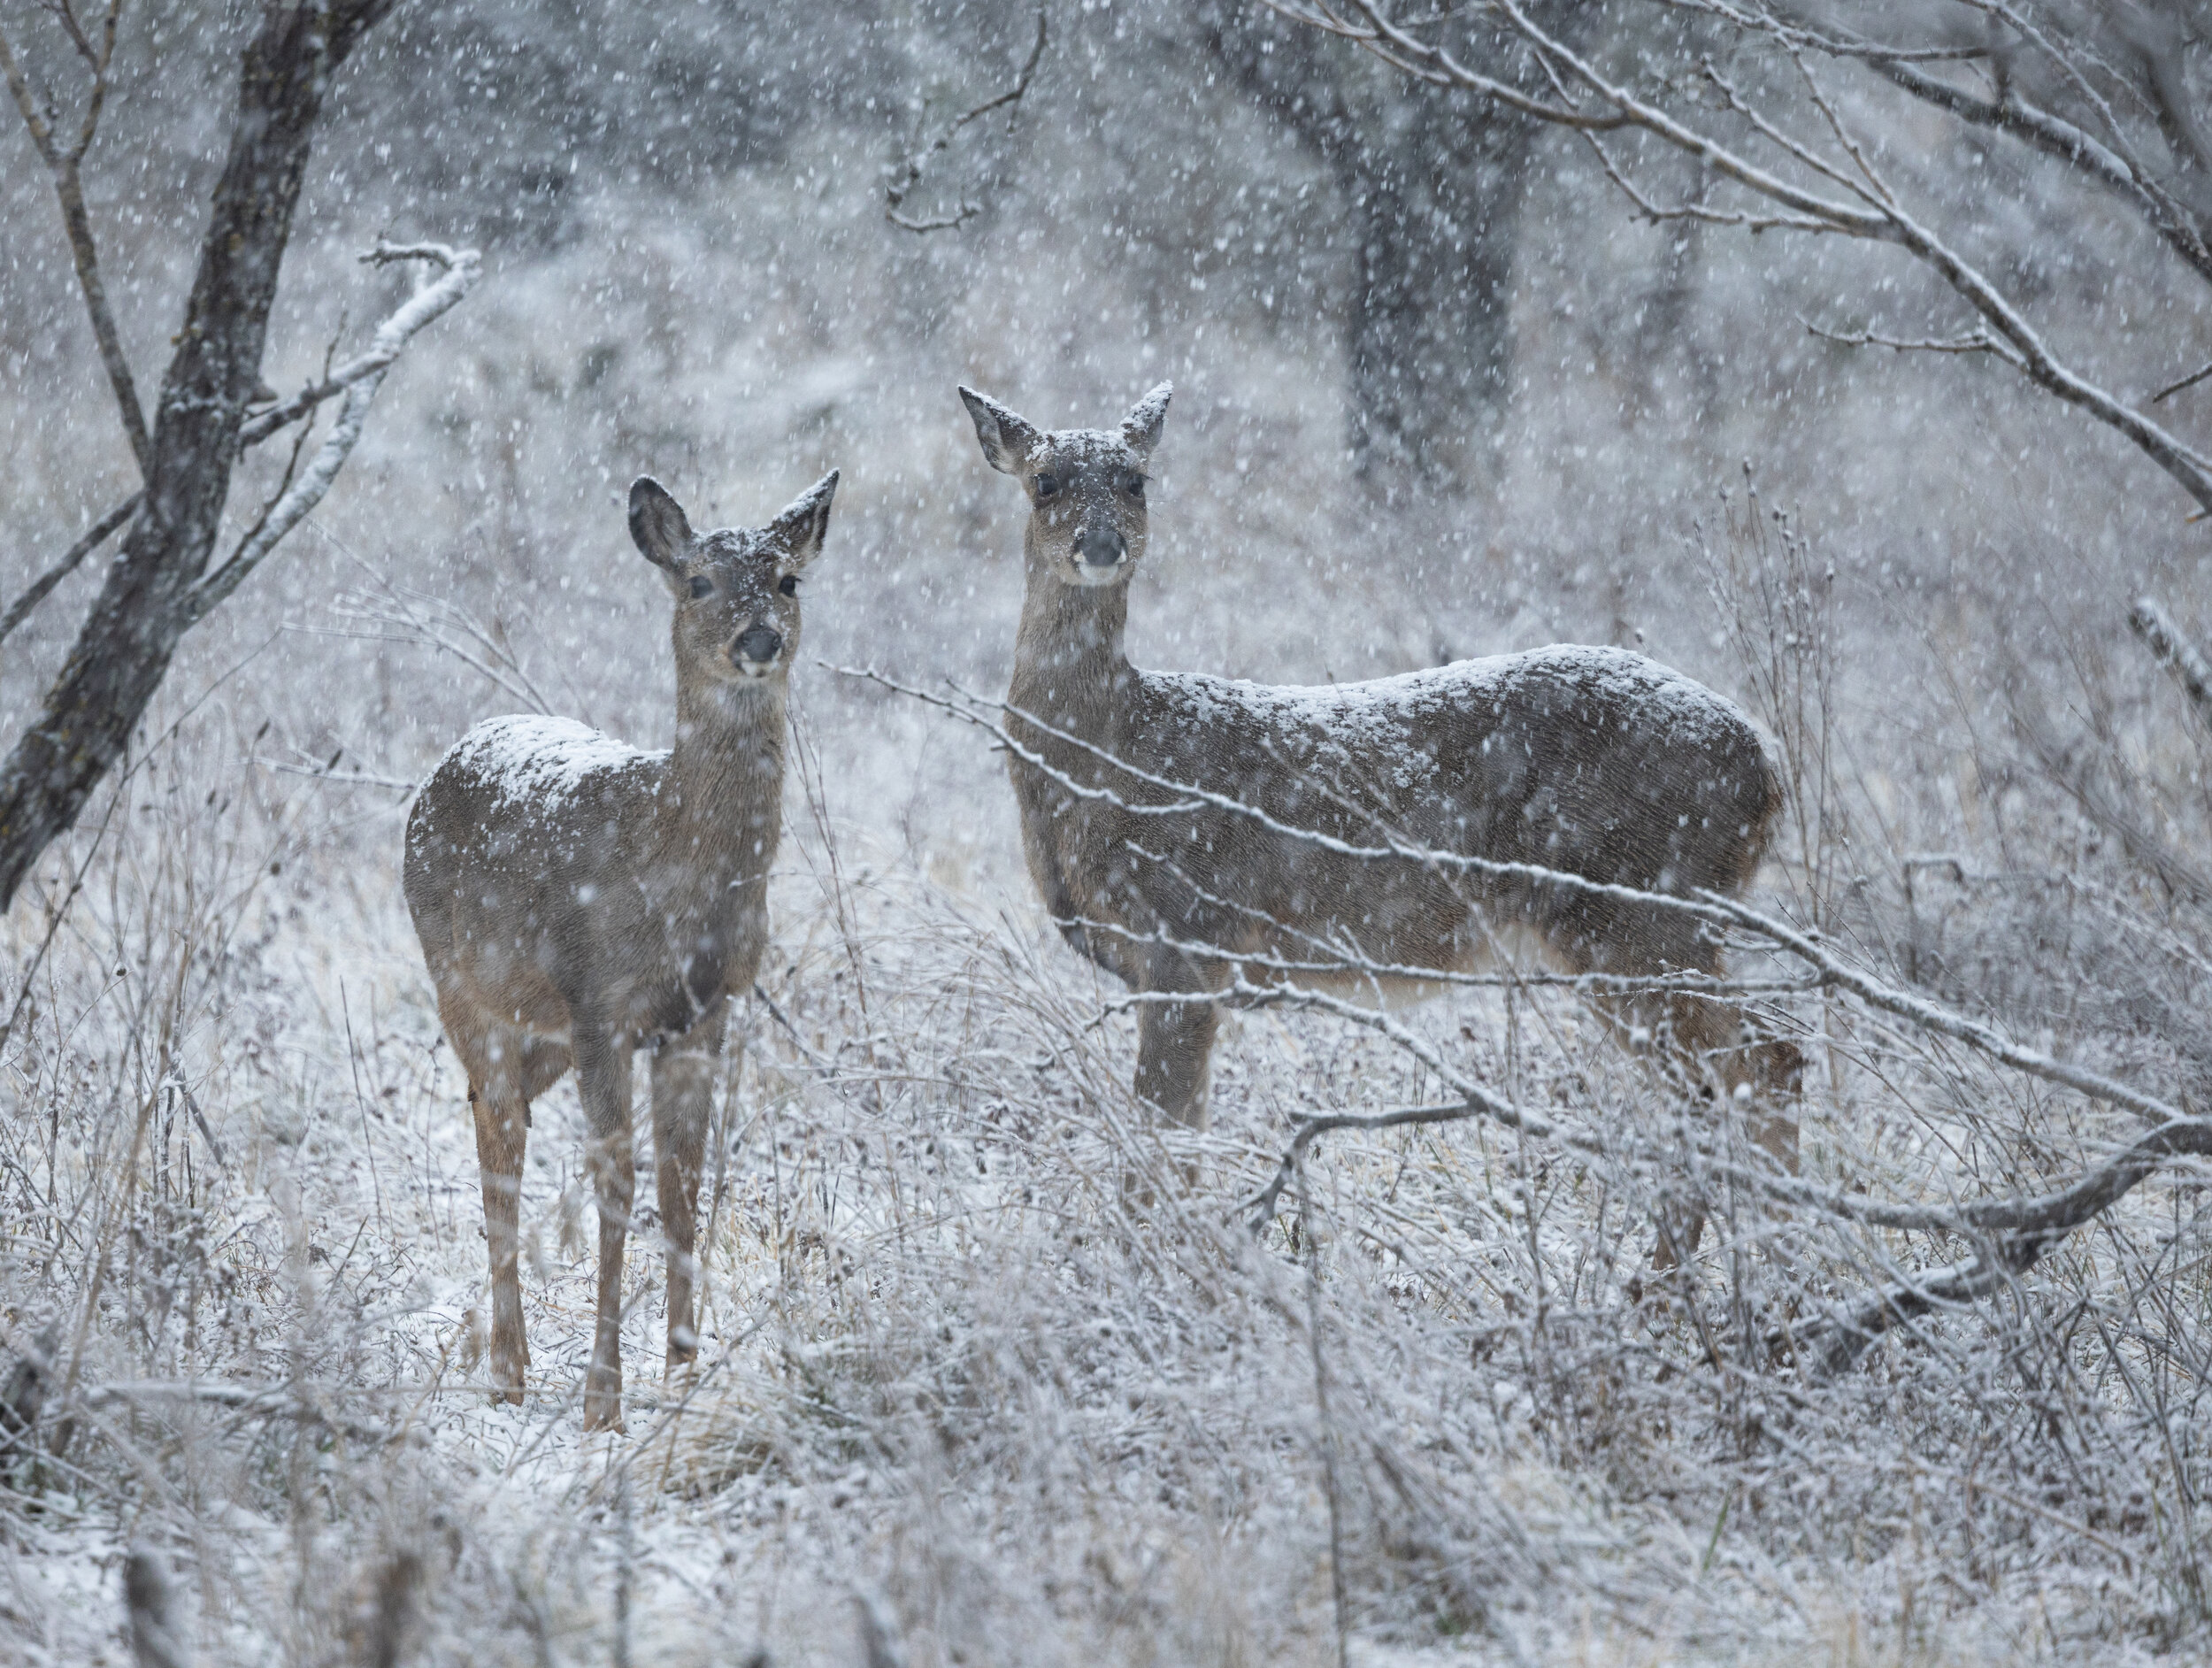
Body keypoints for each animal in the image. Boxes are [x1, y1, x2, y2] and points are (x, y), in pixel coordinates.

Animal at [407, 465, 836, 1416]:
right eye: (698, 581)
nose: (759, 637)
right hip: (464, 988)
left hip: (541, 1031)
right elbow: (617, 1182)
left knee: (494, 1114)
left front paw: (682, 1369)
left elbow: (684, 1182)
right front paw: (603, 1393)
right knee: (499, 1141)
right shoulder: (599, 1000)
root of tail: (450, 756)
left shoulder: (703, 1012)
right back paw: (509, 1366)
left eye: (790, 579)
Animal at [964, 387, 1796, 1221]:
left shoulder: (1186, 933)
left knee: (1764, 1060)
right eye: (1044, 481)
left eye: (1136, 480)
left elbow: (1161, 1147)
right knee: (1733, 1076)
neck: (1111, 760)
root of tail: (1766, 770)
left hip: (1638, 907)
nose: (1102, 543)